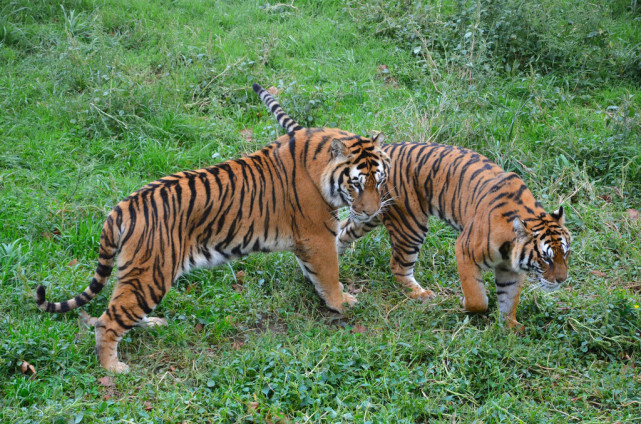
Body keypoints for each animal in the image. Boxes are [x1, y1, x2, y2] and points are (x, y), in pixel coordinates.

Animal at [36, 83, 390, 374]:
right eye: (356, 184)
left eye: (380, 180)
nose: (371, 212)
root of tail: (123, 206)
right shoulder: (318, 236)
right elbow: (329, 274)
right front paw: (341, 303)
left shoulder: (309, 241)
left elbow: (315, 273)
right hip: (152, 273)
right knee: (107, 321)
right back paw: (113, 368)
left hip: (136, 272)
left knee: (117, 307)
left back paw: (151, 323)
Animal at [255, 88, 568, 332]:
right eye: (545, 258)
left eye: (565, 254)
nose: (562, 280)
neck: (510, 248)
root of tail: (381, 151)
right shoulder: (465, 250)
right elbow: (478, 297)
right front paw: (467, 305)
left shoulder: (511, 269)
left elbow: (509, 299)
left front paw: (511, 327)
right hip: (410, 225)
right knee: (398, 266)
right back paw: (420, 294)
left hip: (368, 215)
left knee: (342, 233)